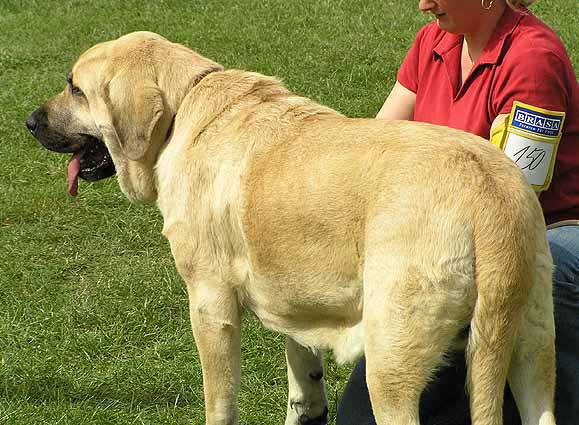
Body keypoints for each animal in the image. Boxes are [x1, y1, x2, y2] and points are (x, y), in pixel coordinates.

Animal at [26, 33, 556, 424]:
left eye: (75, 88)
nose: (30, 120)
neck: (182, 110)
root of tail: (488, 195)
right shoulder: (297, 298)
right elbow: (303, 370)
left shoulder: (210, 303)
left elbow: (220, 399)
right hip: (531, 345)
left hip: (392, 365)